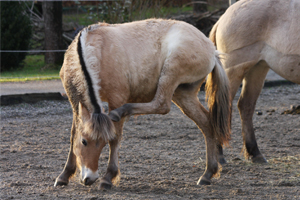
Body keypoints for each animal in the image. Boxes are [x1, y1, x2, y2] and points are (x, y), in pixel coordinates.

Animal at [54, 18, 232, 188]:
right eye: (84, 141)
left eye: (103, 143)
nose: (89, 178)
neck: (93, 48)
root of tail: (212, 50)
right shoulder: (75, 101)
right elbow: (73, 135)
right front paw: (64, 175)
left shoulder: (116, 99)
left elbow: (115, 138)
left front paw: (108, 178)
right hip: (183, 94)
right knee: (206, 123)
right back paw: (208, 174)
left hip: (170, 72)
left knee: (161, 105)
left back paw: (121, 112)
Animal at [209, 0, 300, 163]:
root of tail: (225, 15)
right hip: (234, 71)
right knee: (221, 107)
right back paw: (219, 155)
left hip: (257, 68)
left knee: (246, 106)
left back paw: (255, 153)